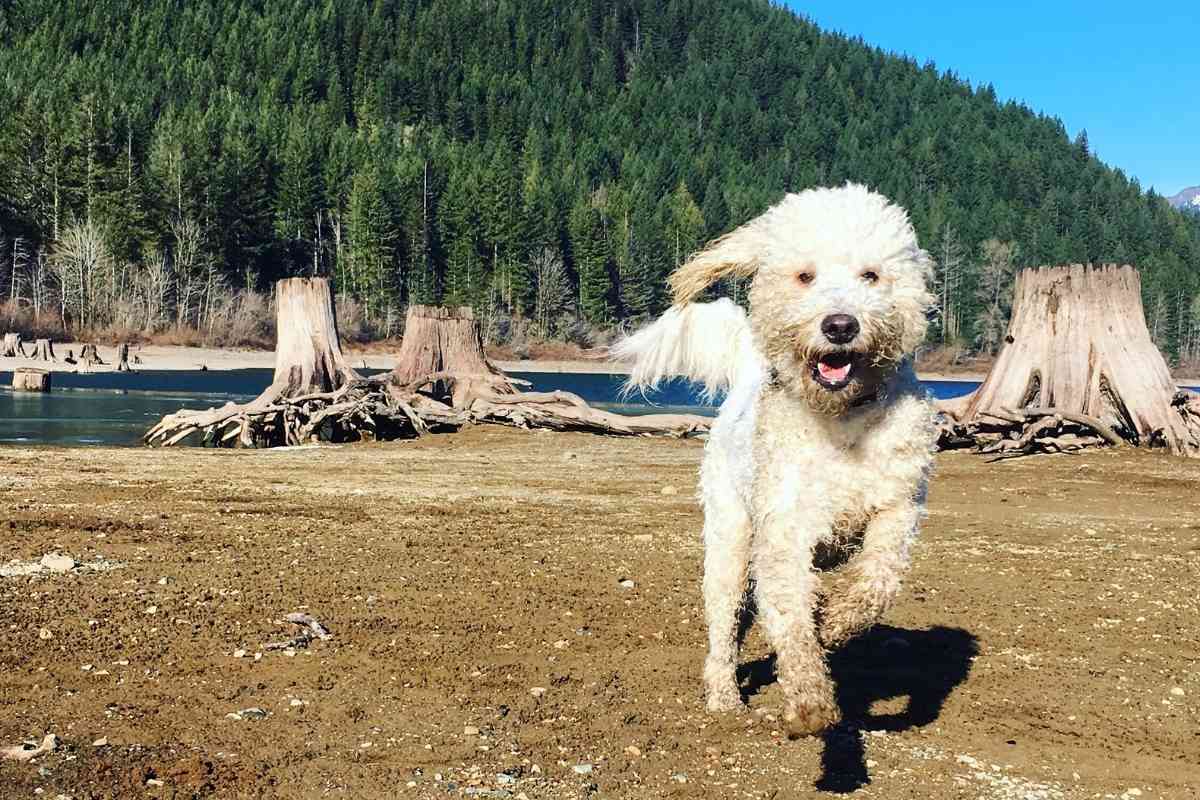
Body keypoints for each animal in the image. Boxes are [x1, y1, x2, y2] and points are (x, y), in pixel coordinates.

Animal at [619, 183, 936, 738]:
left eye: (871, 275)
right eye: (805, 275)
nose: (839, 325)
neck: (842, 421)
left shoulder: (896, 509)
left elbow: (876, 581)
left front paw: (836, 620)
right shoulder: (786, 527)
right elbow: (791, 619)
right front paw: (809, 698)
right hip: (729, 540)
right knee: (724, 628)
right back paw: (724, 696)